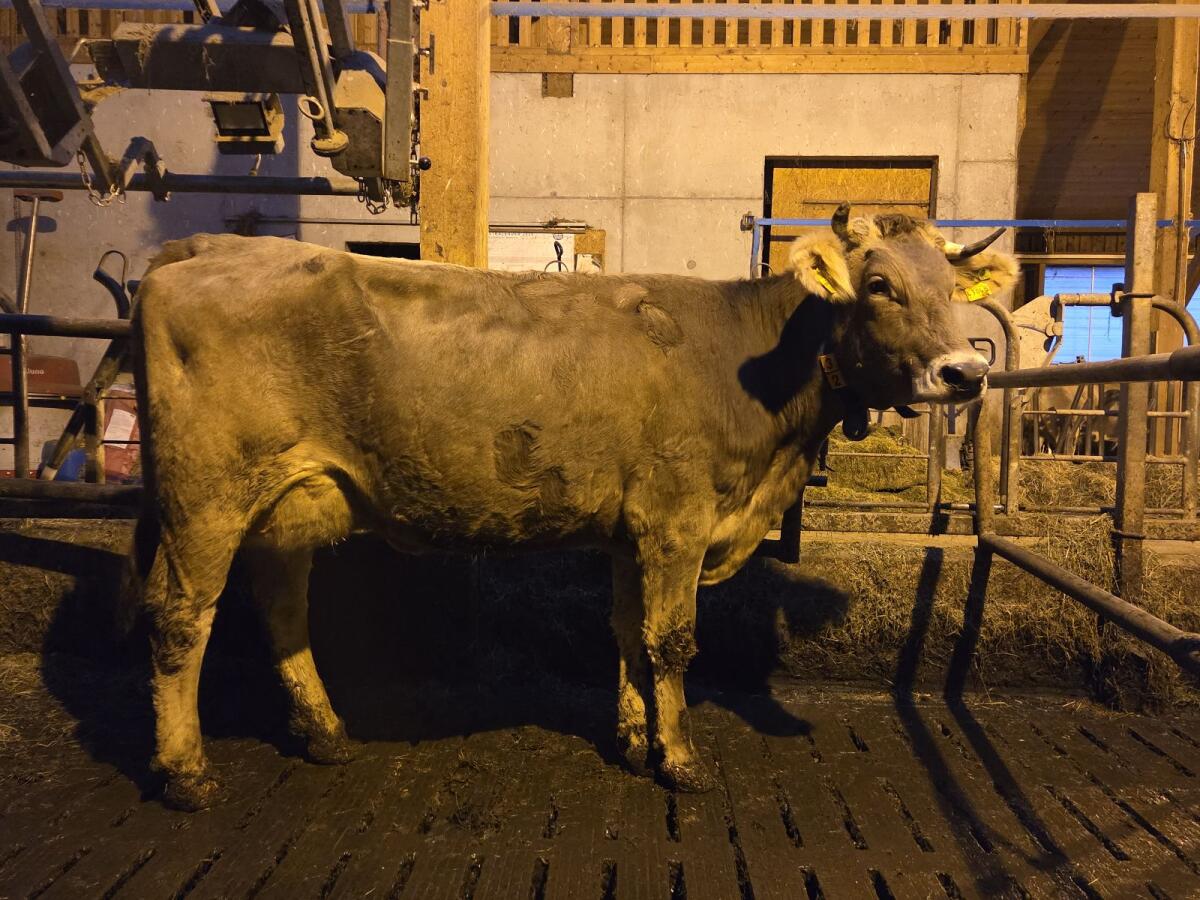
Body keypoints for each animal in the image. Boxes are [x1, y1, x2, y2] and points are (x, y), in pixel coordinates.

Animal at [127, 205, 1016, 810]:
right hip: (206, 494)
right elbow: (671, 641)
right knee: (180, 616)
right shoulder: (677, 518)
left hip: (288, 502)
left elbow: (626, 632)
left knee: (281, 607)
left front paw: (631, 735)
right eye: (879, 286)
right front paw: (680, 758)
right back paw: (185, 771)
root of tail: (205, 246)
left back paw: (325, 733)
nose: (966, 372)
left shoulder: (632, 531)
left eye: (950, 287)